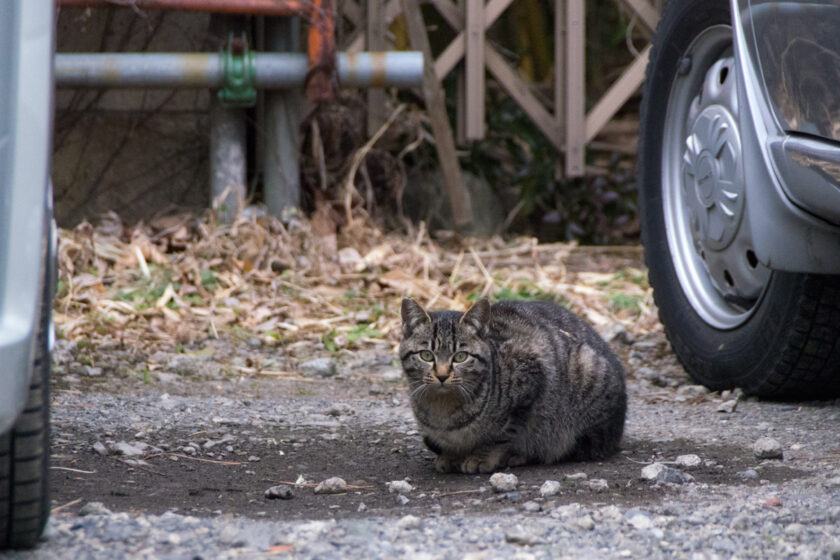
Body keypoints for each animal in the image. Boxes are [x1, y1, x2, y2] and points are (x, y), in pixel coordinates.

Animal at [398, 298, 624, 472]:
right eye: (426, 355)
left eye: (460, 356)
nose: (443, 375)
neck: (442, 410)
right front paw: (451, 455)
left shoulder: (529, 383)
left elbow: (501, 435)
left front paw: (481, 457)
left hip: (585, 373)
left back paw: (519, 456)